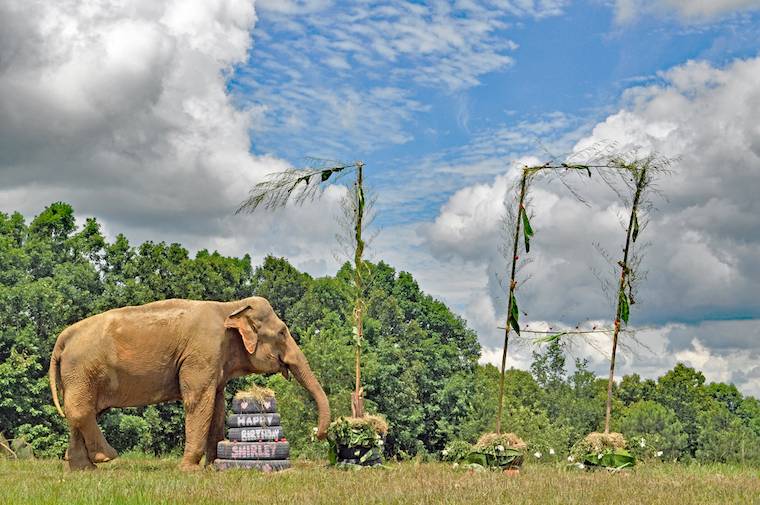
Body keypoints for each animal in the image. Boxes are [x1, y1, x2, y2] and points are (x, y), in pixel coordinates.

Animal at [48, 296, 330, 471]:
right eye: (282, 332)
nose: (317, 433)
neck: (231, 307)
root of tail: (63, 337)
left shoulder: (215, 362)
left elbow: (217, 405)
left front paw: (214, 467)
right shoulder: (202, 354)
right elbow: (198, 400)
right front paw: (189, 469)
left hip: (78, 374)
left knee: (80, 413)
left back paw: (84, 469)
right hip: (82, 370)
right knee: (81, 410)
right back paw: (106, 457)